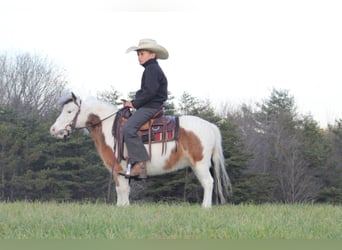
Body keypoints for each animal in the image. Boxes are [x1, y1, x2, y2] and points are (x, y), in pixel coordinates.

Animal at [49, 93, 232, 208]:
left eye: (69, 111)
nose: (53, 130)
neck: (110, 128)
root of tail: (209, 126)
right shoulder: (120, 172)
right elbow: (121, 190)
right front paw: (121, 207)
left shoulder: (120, 168)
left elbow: (122, 189)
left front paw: (124, 208)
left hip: (200, 163)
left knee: (208, 182)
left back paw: (205, 207)